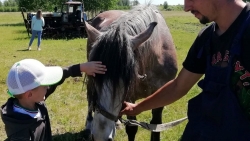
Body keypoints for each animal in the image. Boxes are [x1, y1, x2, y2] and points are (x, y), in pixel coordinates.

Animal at [84, 4, 178, 141]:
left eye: (126, 81)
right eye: (96, 79)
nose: (100, 136)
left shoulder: (162, 94)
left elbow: (156, 126)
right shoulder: (130, 98)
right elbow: (132, 128)